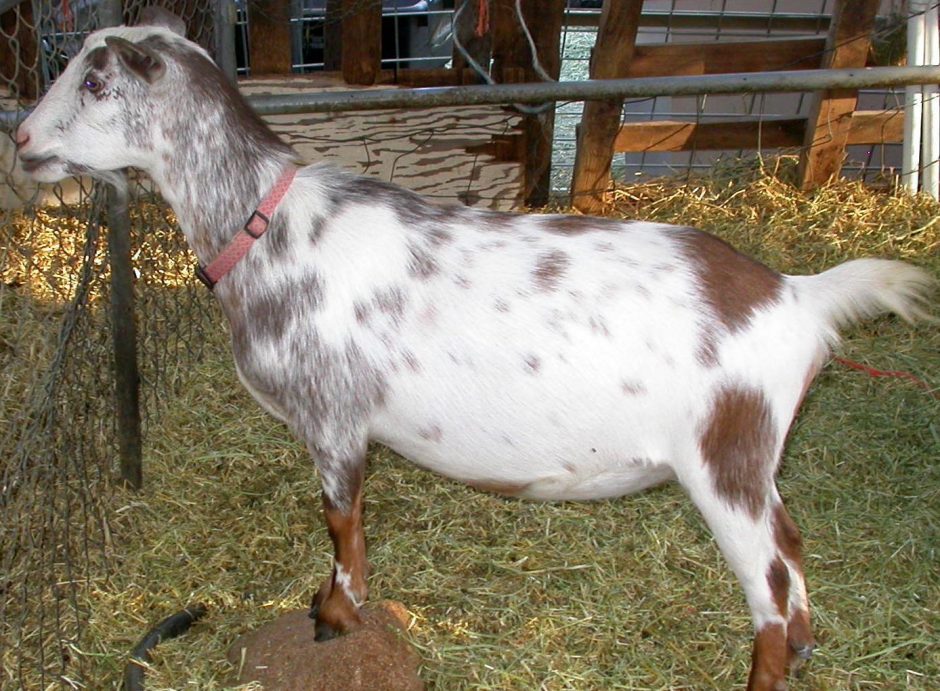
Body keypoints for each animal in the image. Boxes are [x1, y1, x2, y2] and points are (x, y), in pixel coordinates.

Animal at [15, 11, 936, 690]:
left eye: (95, 81)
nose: (22, 139)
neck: (269, 229)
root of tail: (797, 295)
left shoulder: (332, 417)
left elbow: (341, 520)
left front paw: (336, 614)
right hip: (756, 459)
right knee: (793, 546)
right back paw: (809, 647)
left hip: (724, 458)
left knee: (768, 585)